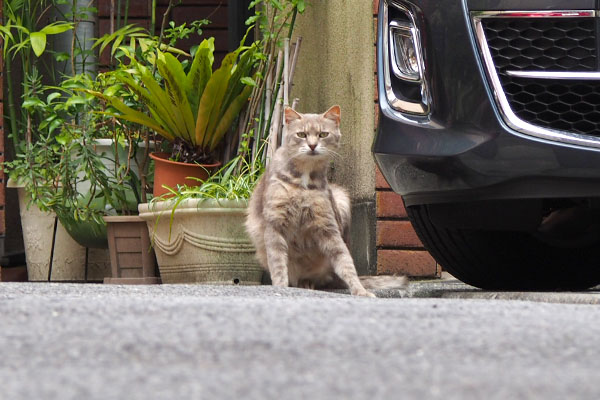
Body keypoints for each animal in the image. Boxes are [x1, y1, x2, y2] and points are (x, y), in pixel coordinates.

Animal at [245, 104, 408, 296]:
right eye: (301, 134)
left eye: (323, 134)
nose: (312, 145)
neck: (304, 178)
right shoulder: (275, 224)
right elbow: (278, 263)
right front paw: (280, 288)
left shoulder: (328, 226)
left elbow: (345, 261)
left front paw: (360, 291)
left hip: (340, 197)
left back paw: (308, 284)